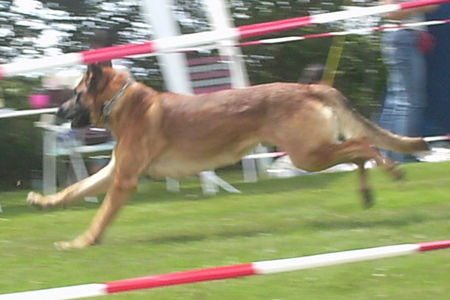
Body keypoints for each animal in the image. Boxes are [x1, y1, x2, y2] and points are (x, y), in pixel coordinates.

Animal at [26, 63, 428, 248]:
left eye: (75, 94)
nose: (55, 113)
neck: (123, 101)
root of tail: (311, 87)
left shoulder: (124, 181)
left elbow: (100, 217)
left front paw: (81, 242)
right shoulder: (113, 172)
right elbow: (74, 190)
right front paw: (44, 202)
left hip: (307, 155)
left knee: (364, 146)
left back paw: (392, 171)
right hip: (313, 153)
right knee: (358, 153)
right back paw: (368, 192)